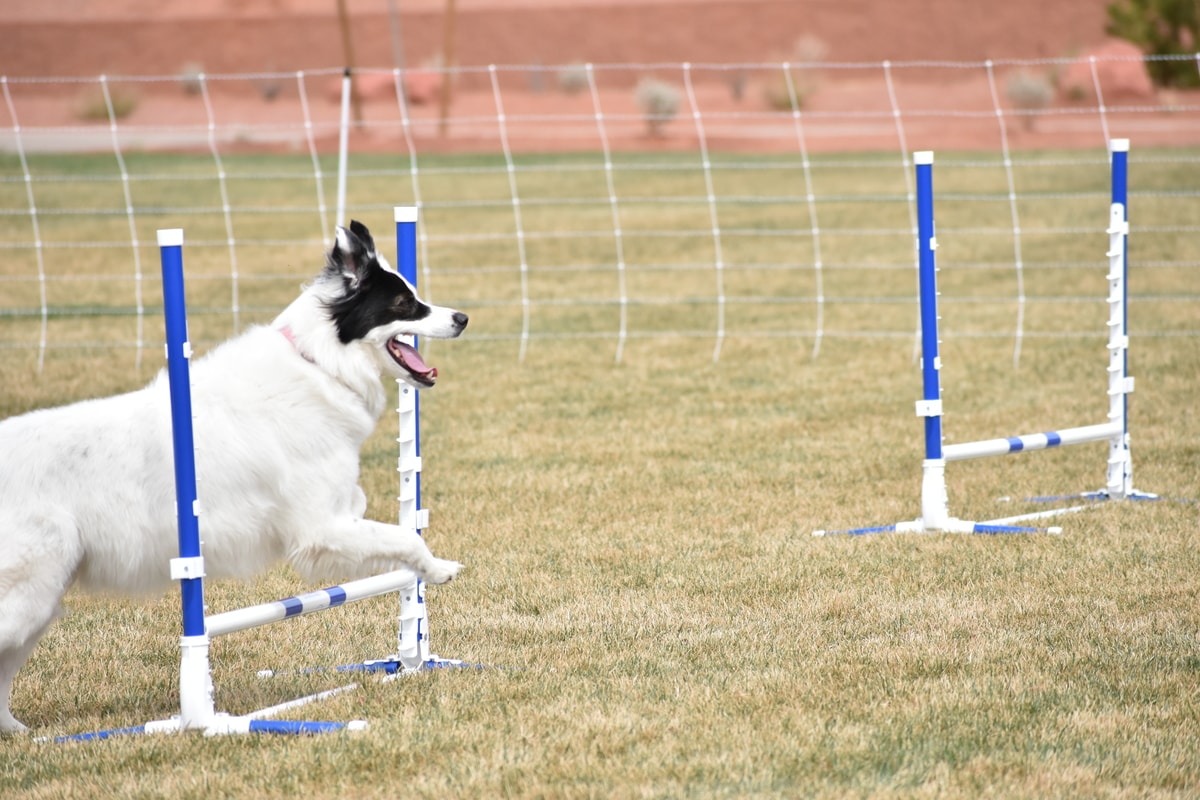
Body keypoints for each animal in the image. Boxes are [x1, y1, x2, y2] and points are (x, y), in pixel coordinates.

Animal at [0, 219, 465, 734]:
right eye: (404, 304)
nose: (462, 318)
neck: (319, 362)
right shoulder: (319, 529)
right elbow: (405, 538)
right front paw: (439, 569)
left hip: (39, 602)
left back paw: (19, 734)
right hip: (27, 596)